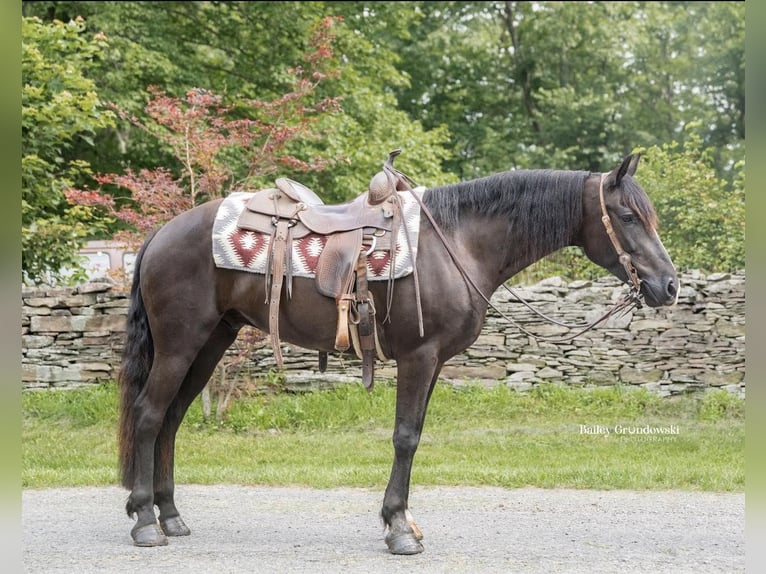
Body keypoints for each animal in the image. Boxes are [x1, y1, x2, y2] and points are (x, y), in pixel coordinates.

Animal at [115, 152, 680, 552]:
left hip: (212, 341)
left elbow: (416, 434)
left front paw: (402, 519)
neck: (457, 242)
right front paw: (399, 530)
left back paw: (171, 516)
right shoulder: (420, 355)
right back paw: (145, 521)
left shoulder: (435, 362)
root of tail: (162, 233)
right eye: (628, 216)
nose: (670, 285)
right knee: (149, 415)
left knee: (171, 419)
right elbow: (405, 437)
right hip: (181, 343)